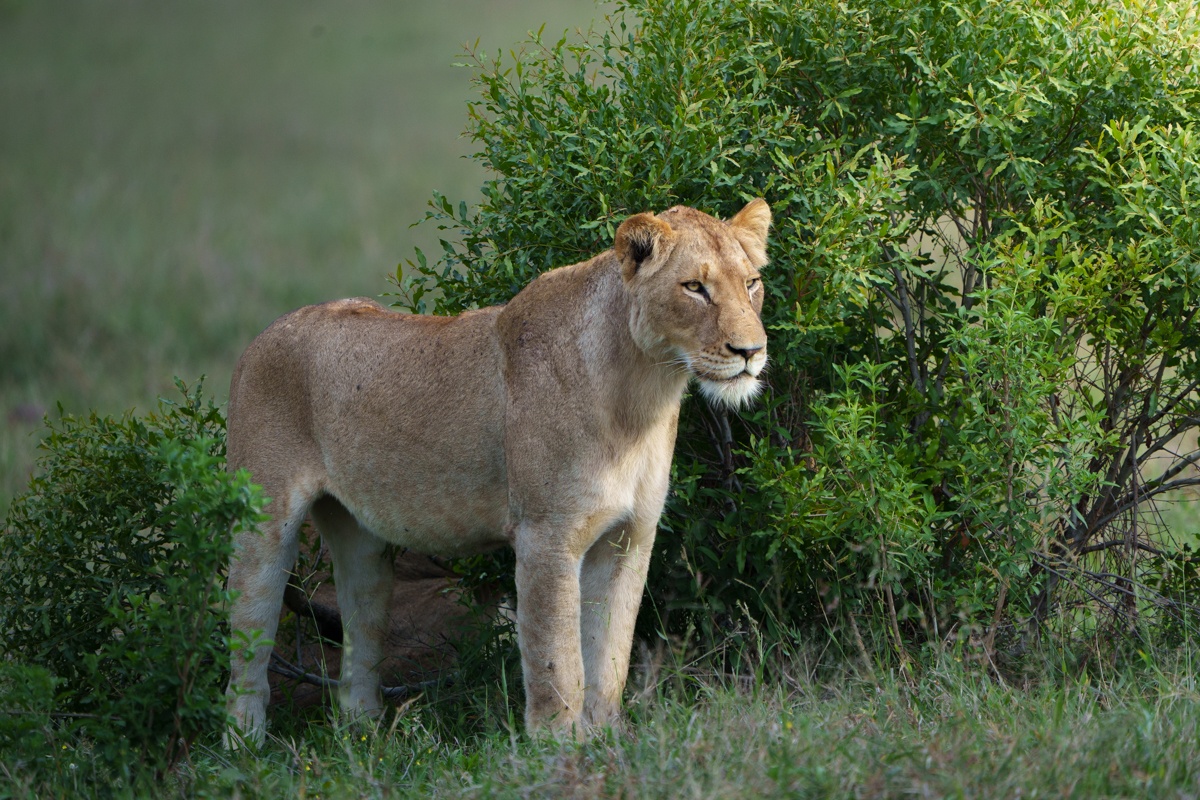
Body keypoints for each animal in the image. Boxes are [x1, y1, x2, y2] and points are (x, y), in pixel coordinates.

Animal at [224, 199, 771, 742]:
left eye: (751, 283)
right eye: (694, 287)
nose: (750, 353)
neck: (643, 394)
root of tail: (260, 337)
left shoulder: (629, 536)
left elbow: (610, 652)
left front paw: (608, 739)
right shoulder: (546, 535)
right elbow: (557, 660)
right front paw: (560, 746)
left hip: (361, 540)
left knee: (361, 629)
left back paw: (365, 733)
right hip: (264, 522)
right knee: (248, 634)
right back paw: (244, 741)